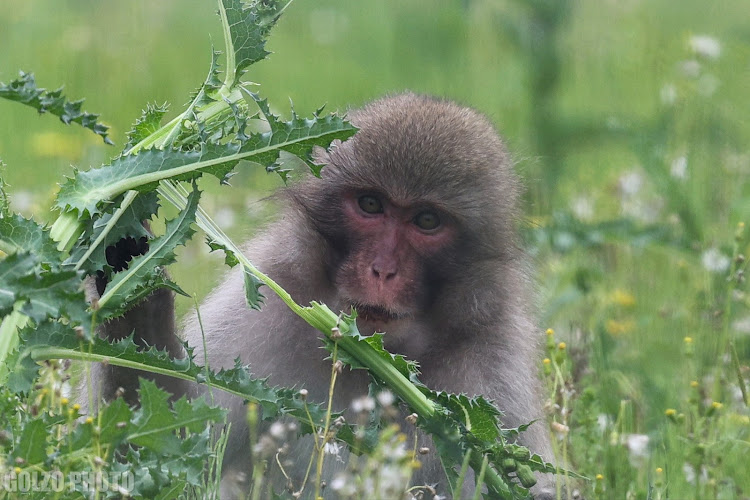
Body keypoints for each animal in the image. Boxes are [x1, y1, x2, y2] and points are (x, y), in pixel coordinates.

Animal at [97, 93, 560, 496]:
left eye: (427, 221)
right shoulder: (266, 304)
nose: (382, 270)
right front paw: (130, 289)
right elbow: (166, 458)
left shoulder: (494, 372)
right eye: (371, 204)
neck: (368, 361)